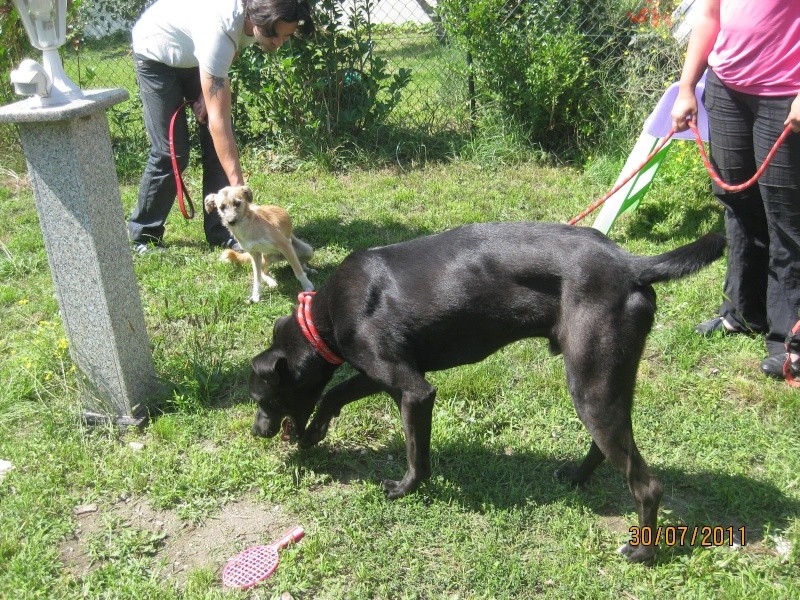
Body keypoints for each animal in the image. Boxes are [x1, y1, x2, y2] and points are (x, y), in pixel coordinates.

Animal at [250, 221, 724, 564]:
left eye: (260, 400)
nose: (257, 432)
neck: (325, 315)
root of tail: (629, 265)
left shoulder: (414, 389)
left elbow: (416, 454)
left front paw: (404, 489)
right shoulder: (378, 371)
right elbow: (333, 395)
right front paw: (314, 433)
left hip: (592, 386)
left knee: (647, 485)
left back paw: (642, 551)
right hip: (605, 382)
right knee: (611, 448)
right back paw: (576, 477)